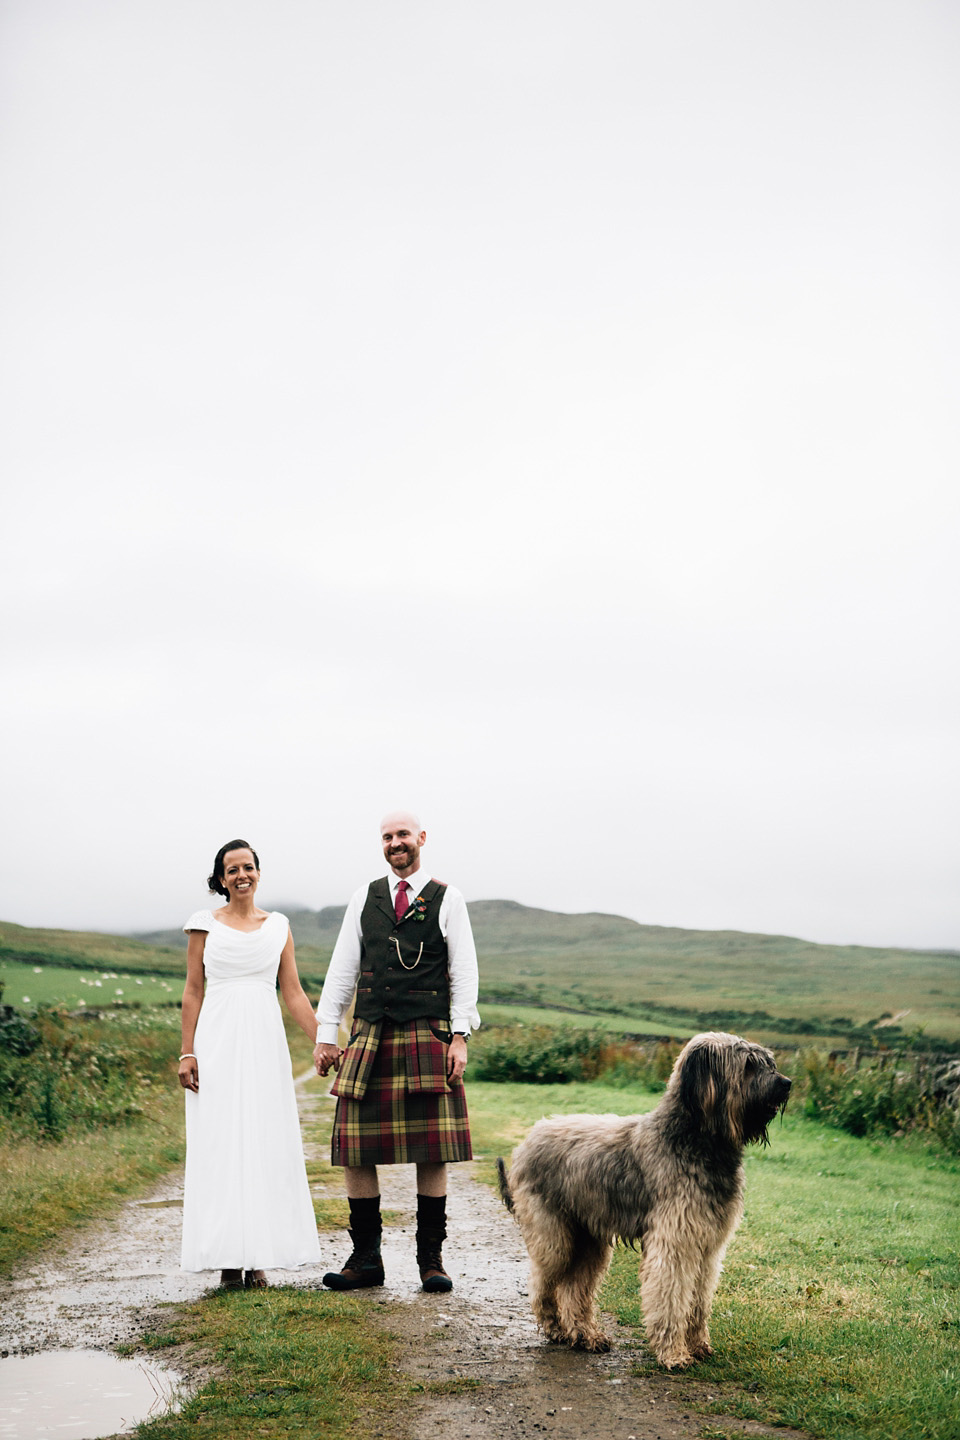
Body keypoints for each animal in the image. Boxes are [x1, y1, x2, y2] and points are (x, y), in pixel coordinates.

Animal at [500, 1031, 794, 1365]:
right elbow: (672, 1298)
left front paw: (698, 1345)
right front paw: (674, 1354)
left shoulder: (708, 1246)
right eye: (748, 1065)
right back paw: (556, 1329)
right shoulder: (675, 1241)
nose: (786, 1083)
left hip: (589, 1240)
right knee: (543, 1285)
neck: (695, 1140)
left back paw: (586, 1336)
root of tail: (527, 1140)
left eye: (768, 1062)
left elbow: (699, 1300)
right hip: (555, 1237)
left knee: (574, 1289)